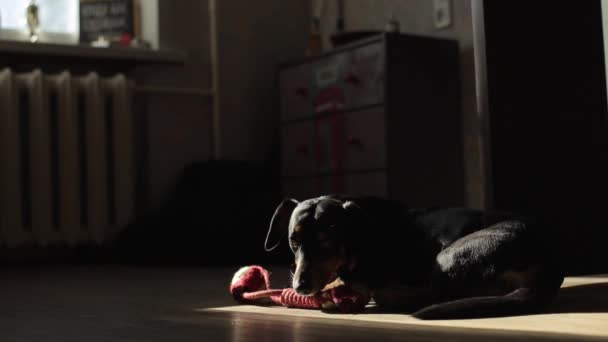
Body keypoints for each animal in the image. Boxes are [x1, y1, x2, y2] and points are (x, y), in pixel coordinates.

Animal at [266, 195, 564, 320]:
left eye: (327, 241)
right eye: (294, 241)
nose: (301, 287)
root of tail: (550, 264)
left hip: (450, 255)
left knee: (432, 293)